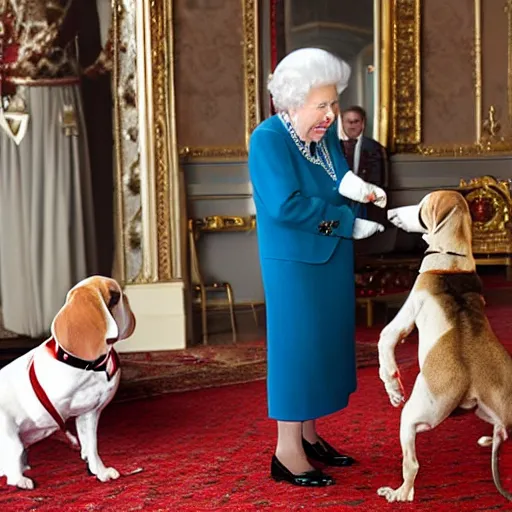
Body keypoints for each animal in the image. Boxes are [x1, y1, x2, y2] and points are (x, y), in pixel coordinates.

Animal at [0, 276, 135, 488]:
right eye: (114, 297)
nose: (126, 298)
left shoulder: (88, 415)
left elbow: (91, 446)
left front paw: (99, 470)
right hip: (10, 435)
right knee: (13, 466)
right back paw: (21, 479)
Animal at [376, 191, 512, 504]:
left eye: (421, 207)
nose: (390, 212)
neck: (452, 257)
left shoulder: (400, 322)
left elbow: (384, 346)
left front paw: (393, 389)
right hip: (488, 411)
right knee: (503, 433)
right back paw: (491, 438)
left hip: (412, 416)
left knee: (411, 465)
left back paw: (398, 493)